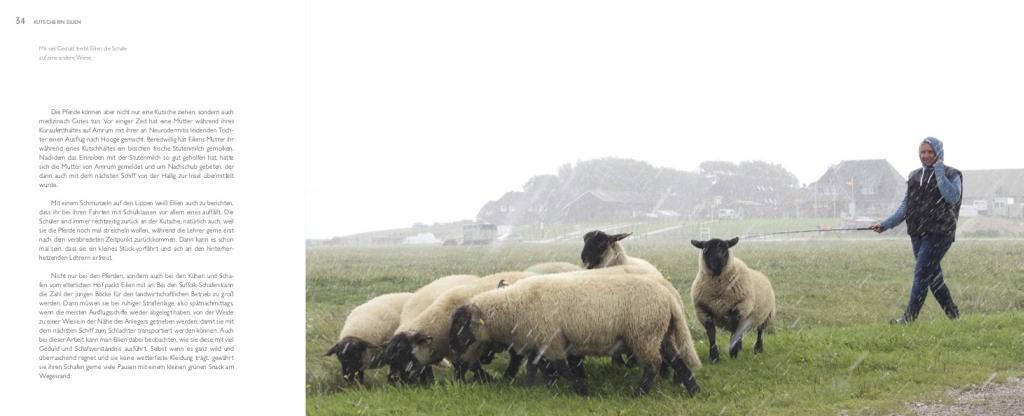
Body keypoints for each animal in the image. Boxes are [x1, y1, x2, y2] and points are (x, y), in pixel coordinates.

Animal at [450, 268, 700, 397]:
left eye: (461, 323)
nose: (452, 347)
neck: (513, 307)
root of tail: (668, 297)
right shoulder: (540, 342)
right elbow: (539, 367)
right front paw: (539, 389)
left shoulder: (551, 339)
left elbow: (561, 368)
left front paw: (584, 391)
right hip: (659, 334)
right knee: (676, 360)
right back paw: (694, 390)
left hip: (643, 334)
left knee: (654, 365)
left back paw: (639, 393)